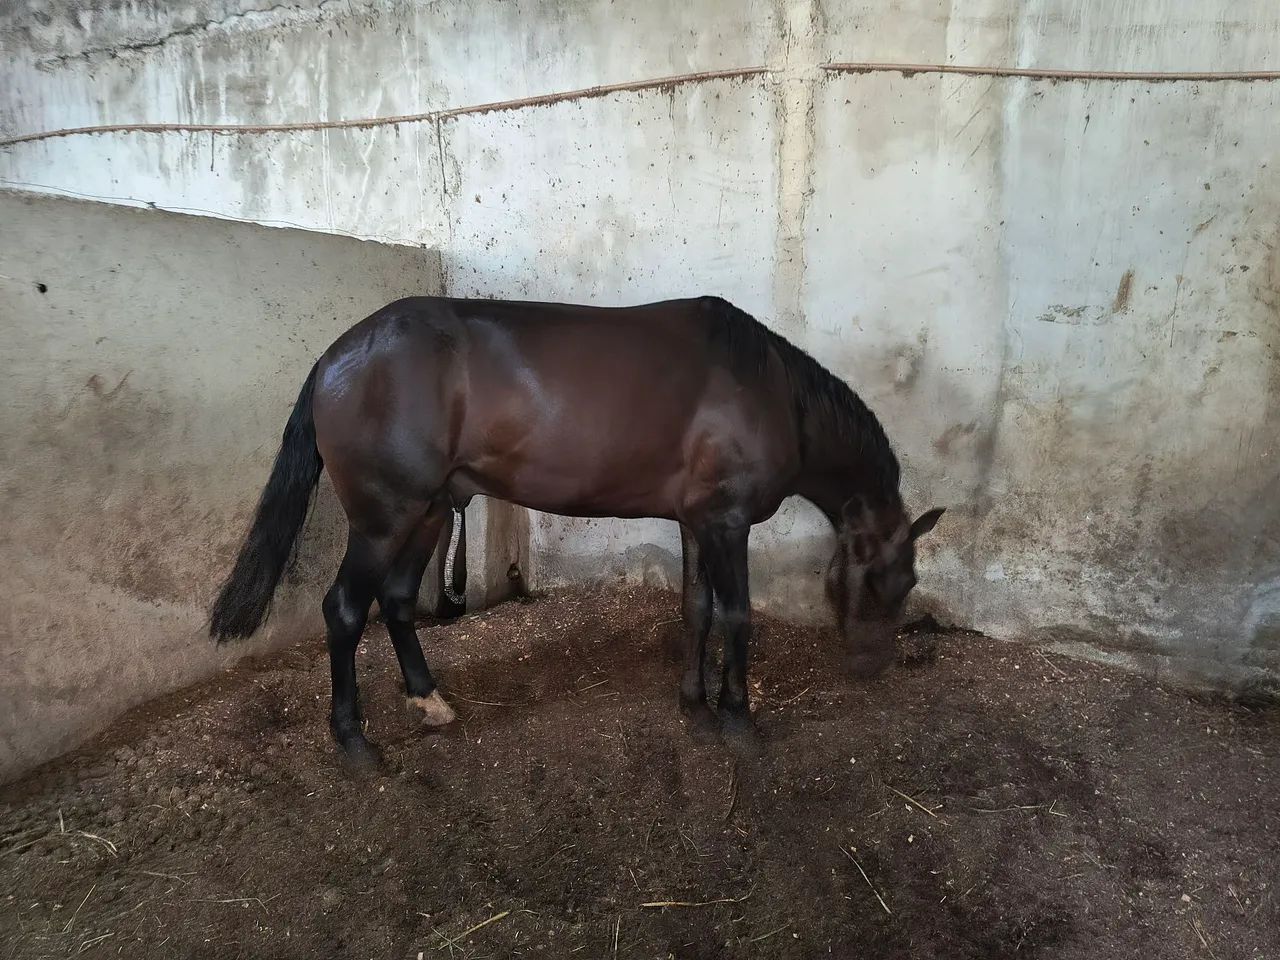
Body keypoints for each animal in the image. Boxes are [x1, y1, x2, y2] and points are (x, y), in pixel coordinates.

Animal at [209, 295, 943, 768]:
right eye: (894, 578)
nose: (873, 666)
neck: (775, 393)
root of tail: (333, 359)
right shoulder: (729, 523)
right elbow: (736, 614)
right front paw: (738, 719)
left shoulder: (698, 521)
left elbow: (696, 609)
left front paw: (695, 709)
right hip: (385, 516)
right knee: (344, 609)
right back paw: (355, 743)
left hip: (430, 511)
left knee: (394, 602)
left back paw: (431, 702)